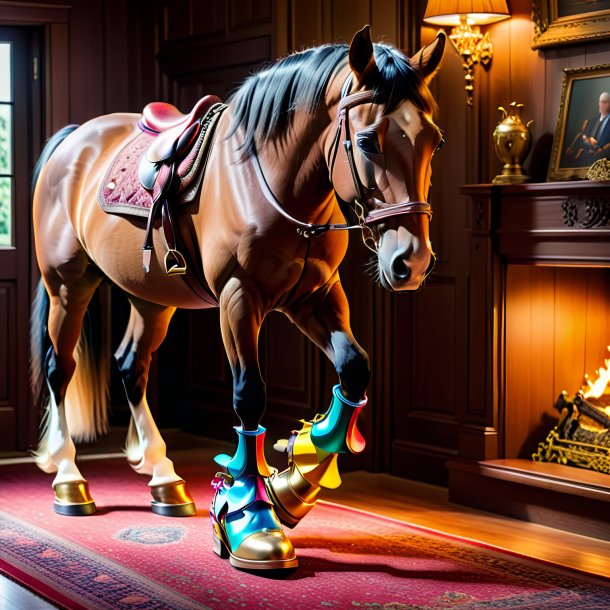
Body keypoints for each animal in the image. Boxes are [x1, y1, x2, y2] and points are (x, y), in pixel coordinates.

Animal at [29, 26, 442, 568]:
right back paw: (69, 479)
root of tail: (74, 136)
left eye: (434, 140)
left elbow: (354, 369)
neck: (273, 180)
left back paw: (163, 477)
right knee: (60, 369)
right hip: (67, 284)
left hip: (151, 296)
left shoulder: (314, 295)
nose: (410, 261)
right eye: (368, 140)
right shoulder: (238, 299)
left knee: (130, 366)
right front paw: (253, 515)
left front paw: (301, 474)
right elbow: (249, 396)